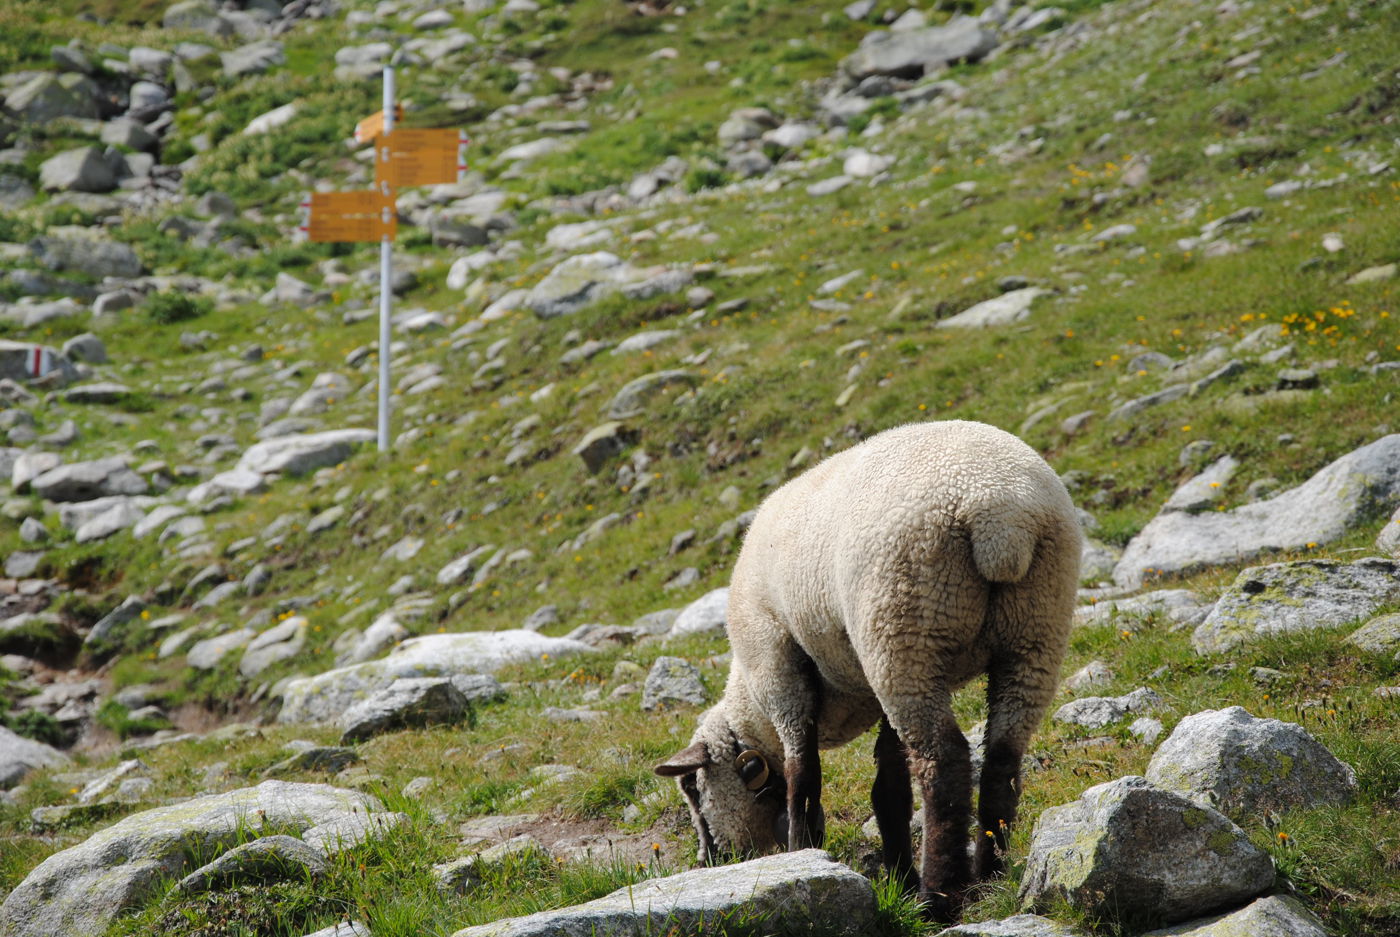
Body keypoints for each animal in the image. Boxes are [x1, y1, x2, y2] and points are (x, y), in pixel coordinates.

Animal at [655, 420, 1082, 921]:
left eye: (693, 788)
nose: (709, 859)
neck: (750, 700)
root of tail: (1001, 513)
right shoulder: (874, 686)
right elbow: (889, 786)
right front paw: (897, 873)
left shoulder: (777, 664)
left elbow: (802, 778)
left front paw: (804, 850)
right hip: (1034, 626)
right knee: (1002, 757)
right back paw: (988, 875)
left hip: (902, 625)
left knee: (944, 761)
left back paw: (939, 895)